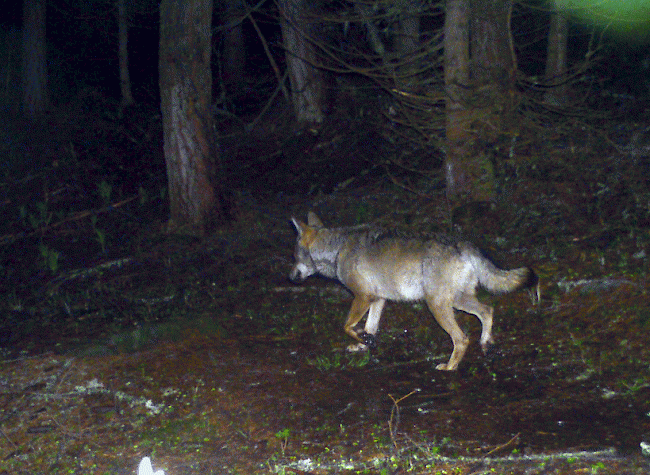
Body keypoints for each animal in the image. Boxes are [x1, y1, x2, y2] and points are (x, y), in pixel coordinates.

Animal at [288, 212, 536, 372]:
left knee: (462, 338)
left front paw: (363, 339)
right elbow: (369, 327)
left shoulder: (363, 297)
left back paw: (450, 367)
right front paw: (364, 344)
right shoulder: (378, 299)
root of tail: (463, 244)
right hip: (457, 301)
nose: (290, 277)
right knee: (487, 311)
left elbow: (347, 326)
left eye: (294, 256)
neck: (337, 249)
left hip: (437, 305)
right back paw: (486, 344)